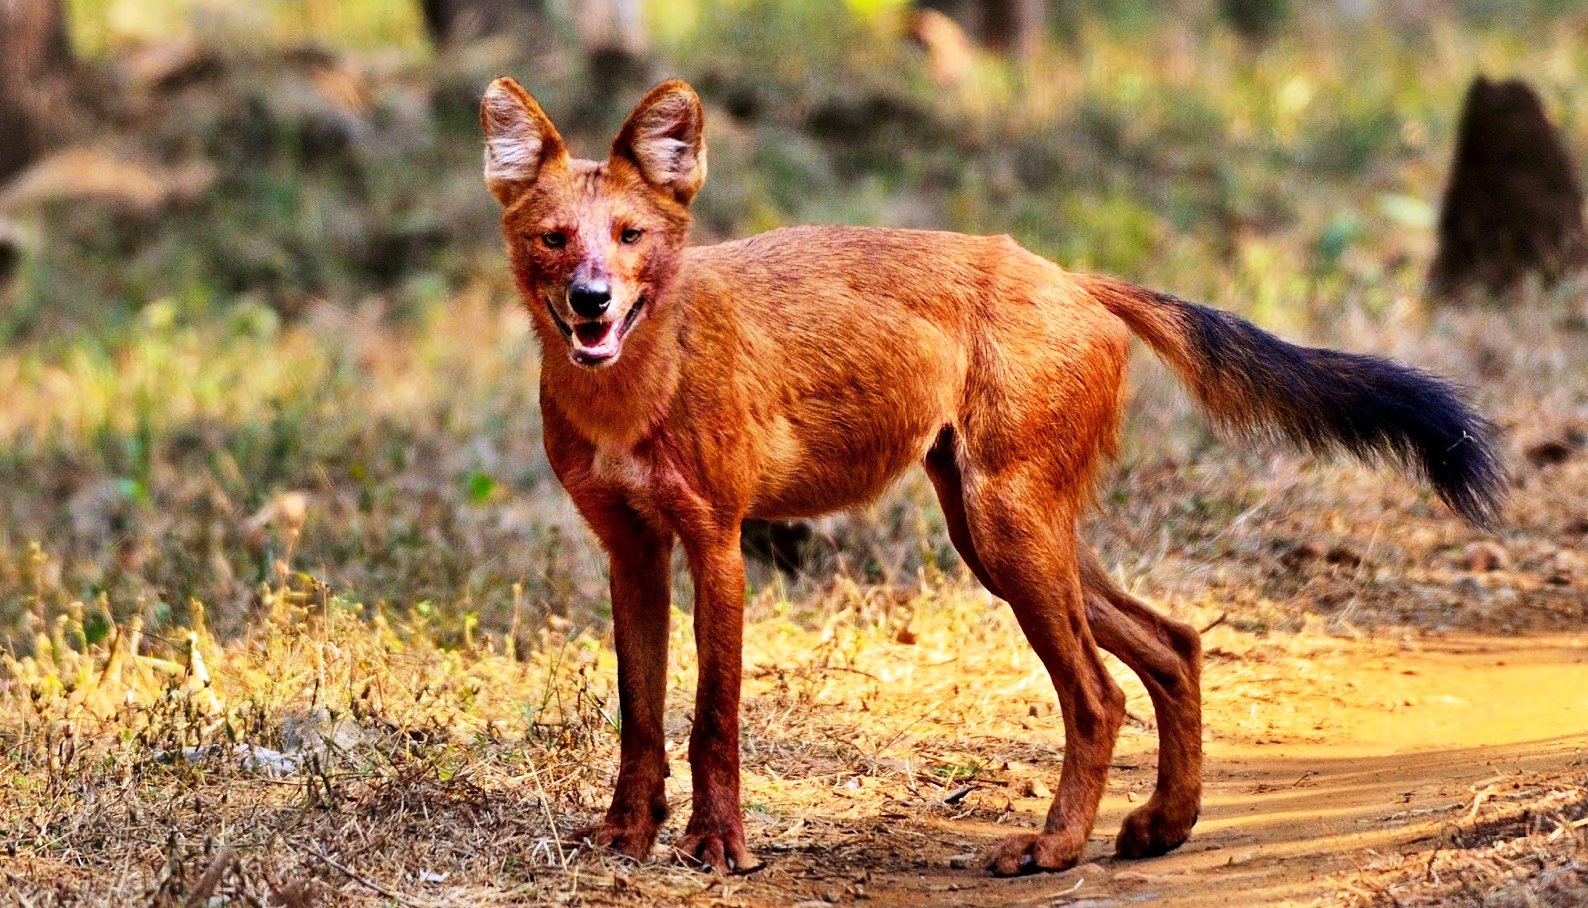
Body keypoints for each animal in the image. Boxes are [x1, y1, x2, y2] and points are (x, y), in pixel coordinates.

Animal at [479, 79, 1499, 882]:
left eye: (630, 235)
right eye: (555, 239)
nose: (591, 301)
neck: (630, 392)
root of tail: (1078, 278)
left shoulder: (718, 540)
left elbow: (712, 718)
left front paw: (719, 848)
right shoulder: (630, 549)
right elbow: (639, 715)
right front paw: (625, 836)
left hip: (1006, 526)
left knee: (1099, 694)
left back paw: (1054, 848)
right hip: (997, 531)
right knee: (1174, 643)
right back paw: (1164, 826)